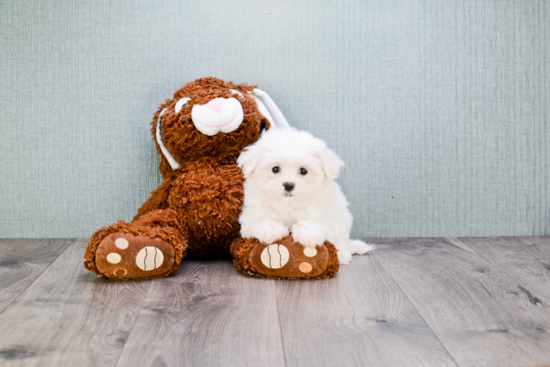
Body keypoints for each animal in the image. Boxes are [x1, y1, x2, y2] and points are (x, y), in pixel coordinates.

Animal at [237, 128, 376, 264]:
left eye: (303, 171)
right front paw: (272, 229)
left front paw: (307, 232)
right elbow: (258, 223)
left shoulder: (326, 214)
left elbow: (318, 223)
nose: (288, 185)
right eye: (275, 169)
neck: (288, 205)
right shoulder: (250, 218)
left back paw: (341, 254)